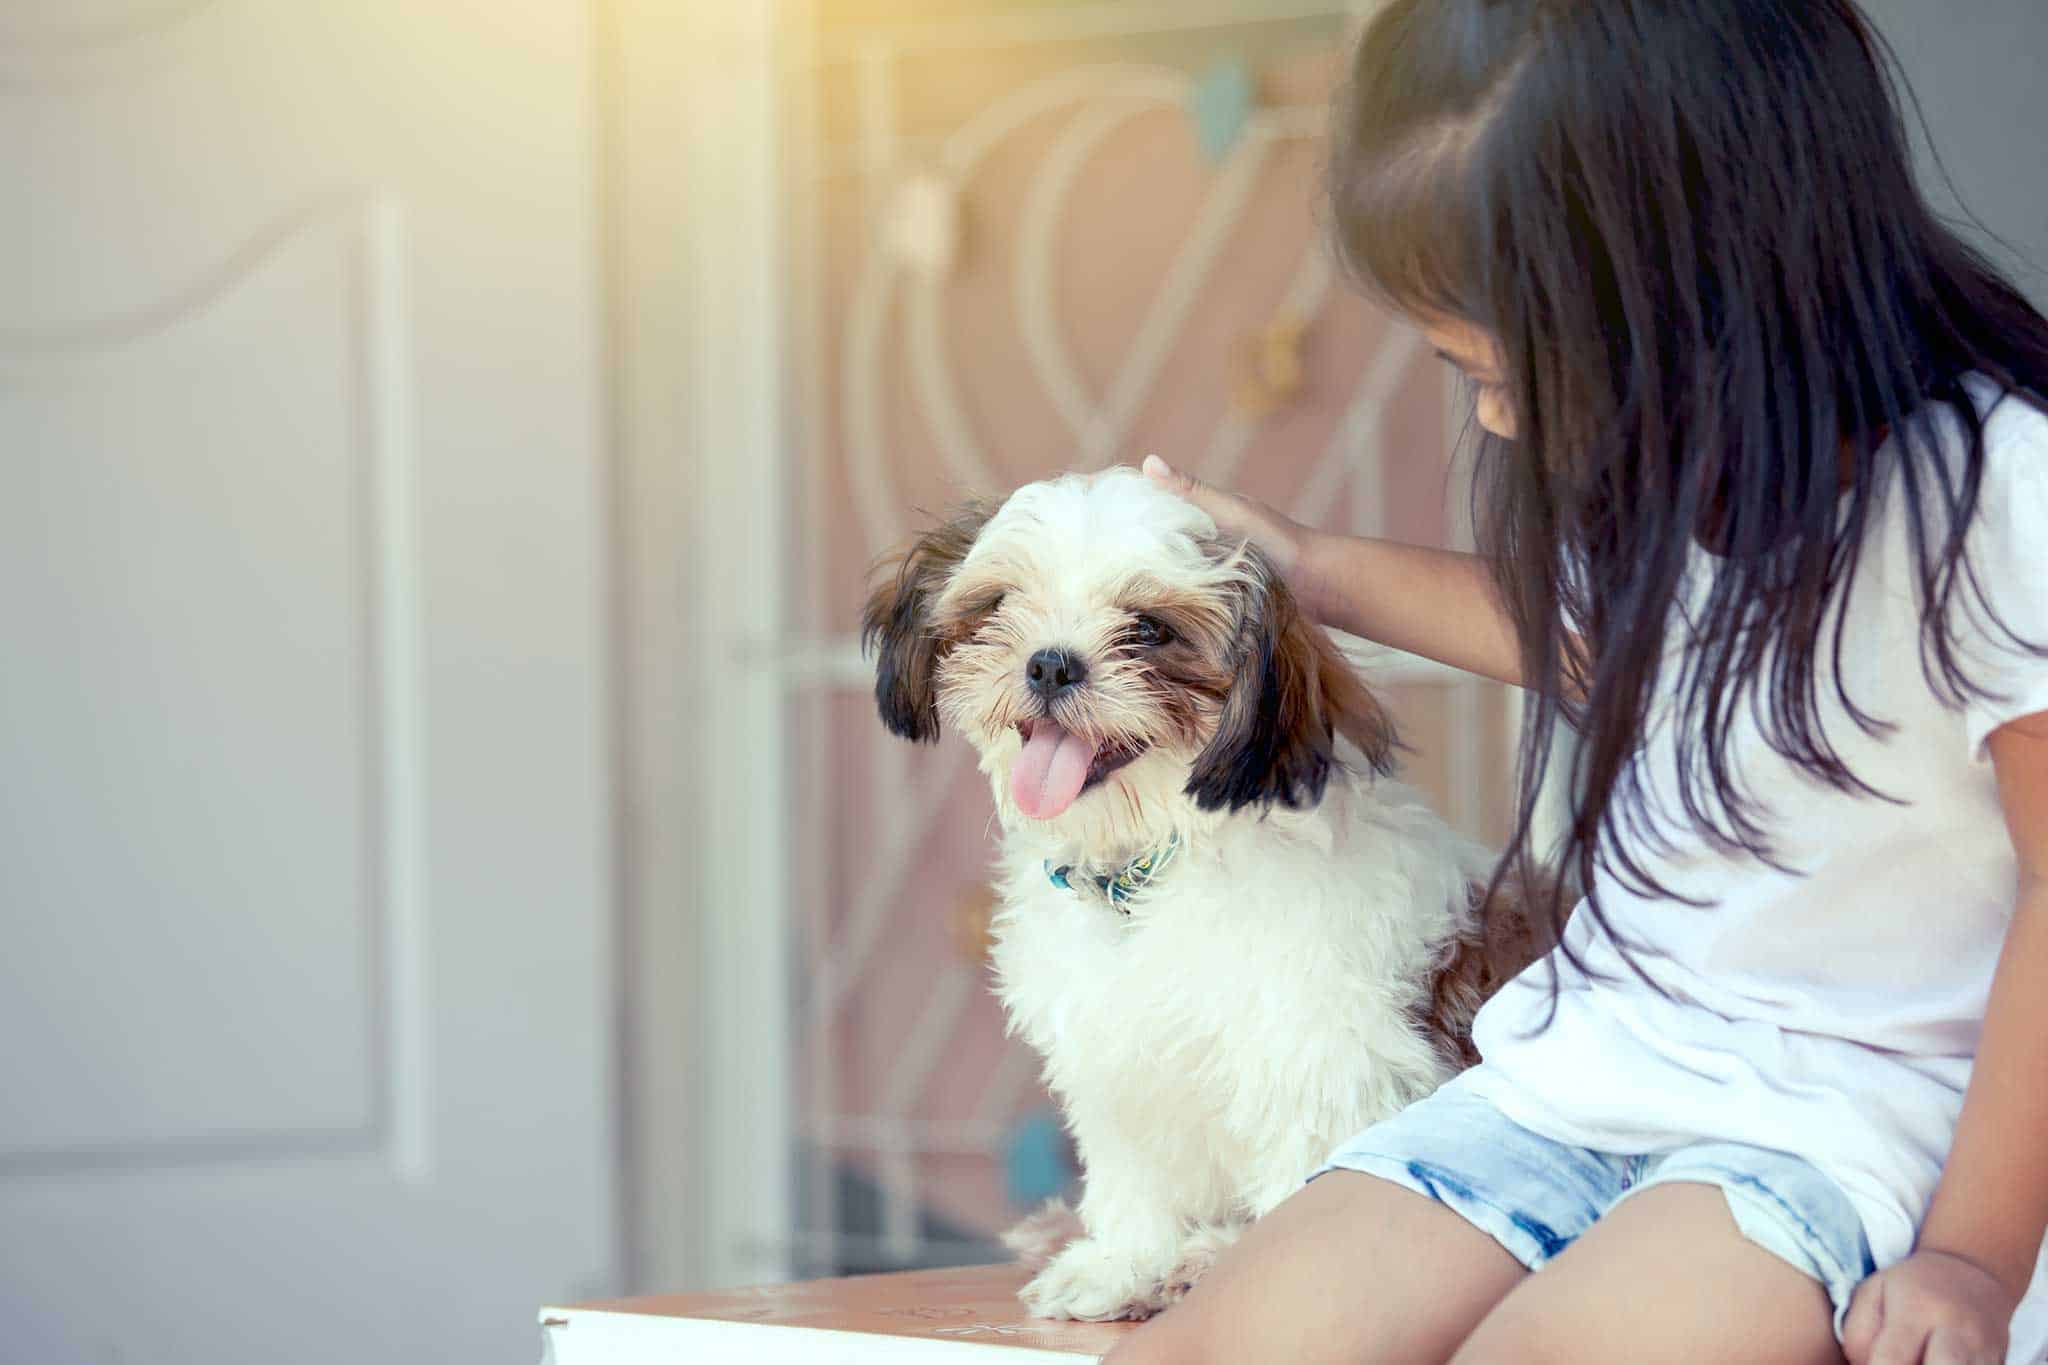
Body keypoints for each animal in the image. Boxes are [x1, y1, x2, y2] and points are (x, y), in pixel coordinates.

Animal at [856, 470, 1540, 1326]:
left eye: (1149, 629)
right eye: (1002, 603)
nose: (1050, 664)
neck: (1154, 866)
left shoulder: (1324, 1059)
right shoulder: (1117, 1065)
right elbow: (1136, 1175)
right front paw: (1123, 1264)